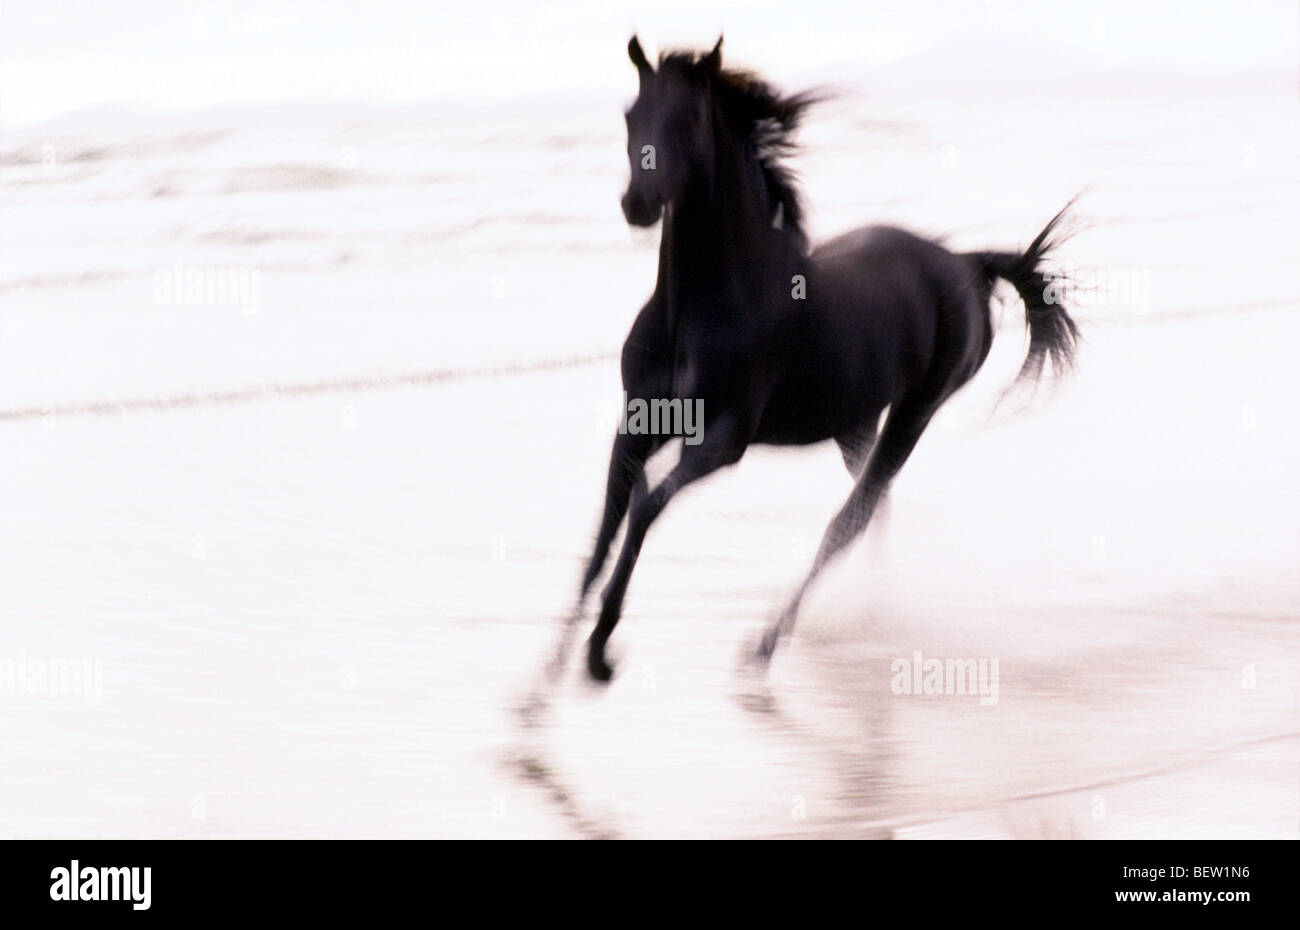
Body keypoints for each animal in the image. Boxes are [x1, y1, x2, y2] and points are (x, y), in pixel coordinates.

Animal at [570, 36, 1079, 683]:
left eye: (687, 119)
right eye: (631, 115)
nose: (637, 203)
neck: (694, 311)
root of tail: (967, 265)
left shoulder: (720, 442)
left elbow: (641, 513)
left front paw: (601, 650)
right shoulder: (638, 425)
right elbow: (608, 526)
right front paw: (551, 667)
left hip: (915, 411)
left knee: (852, 519)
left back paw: (765, 643)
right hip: (853, 422)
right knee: (874, 510)